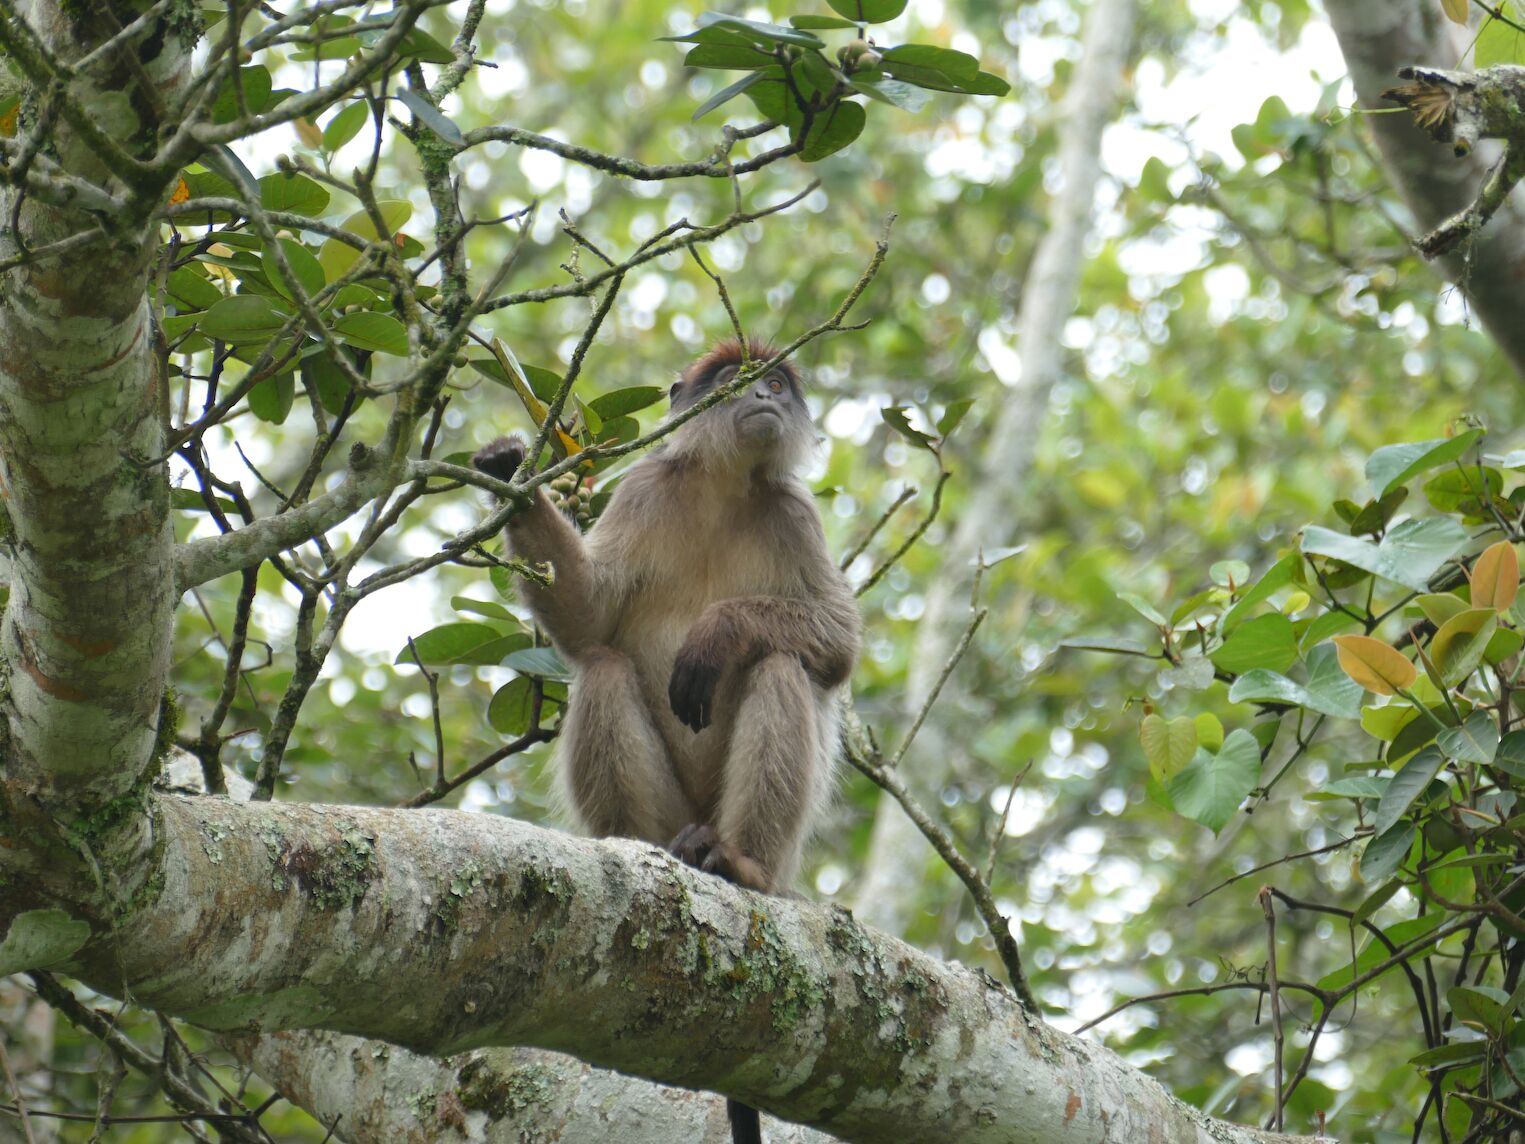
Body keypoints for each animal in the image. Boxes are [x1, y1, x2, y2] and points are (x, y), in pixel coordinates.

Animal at [474, 339, 859, 1144]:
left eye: (779, 385)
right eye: (743, 381)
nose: (766, 398)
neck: (721, 490)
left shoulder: (793, 512)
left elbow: (837, 648)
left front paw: (716, 633)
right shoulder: (648, 487)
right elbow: (590, 621)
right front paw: (512, 476)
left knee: (781, 665)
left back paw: (739, 865)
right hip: (667, 808)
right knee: (603, 666)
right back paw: (642, 852)